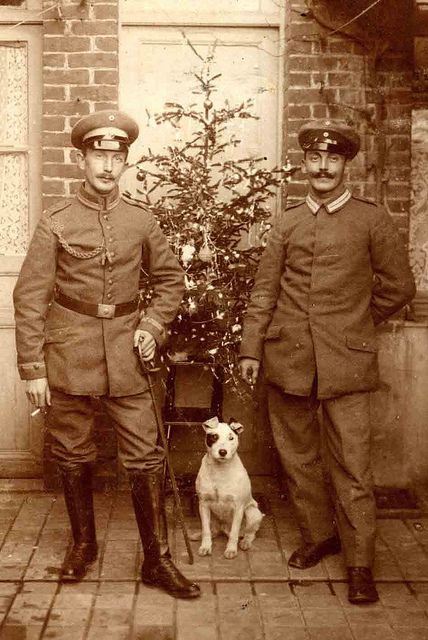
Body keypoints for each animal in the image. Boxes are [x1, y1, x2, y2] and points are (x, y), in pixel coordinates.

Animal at [195, 418, 264, 556]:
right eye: (214, 436)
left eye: (231, 438)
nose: (223, 452)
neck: (219, 470)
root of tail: (223, 528)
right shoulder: (203, 504)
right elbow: (206, 530)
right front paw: (205, 546)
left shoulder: (238, 507)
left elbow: (234, 533)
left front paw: (231, 549)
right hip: (212, 518)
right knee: (212, 531)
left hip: (252, 513)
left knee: (250, 533)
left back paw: (245, 542)